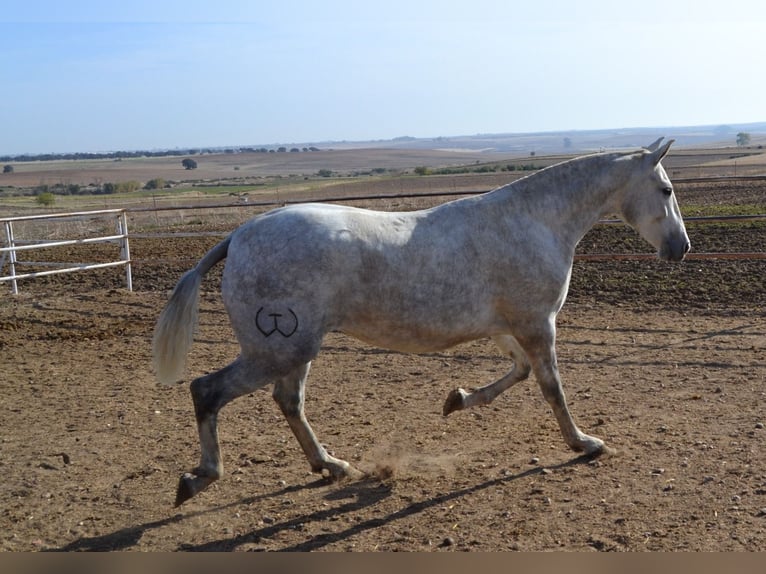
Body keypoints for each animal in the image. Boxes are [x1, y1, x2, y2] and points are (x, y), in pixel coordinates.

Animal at [154, 137, 688, 506]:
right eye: (665, 189)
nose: (680, 248)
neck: (534, 222)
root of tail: (238, 236)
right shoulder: (538, 324)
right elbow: (551, 386)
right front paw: (584, 443)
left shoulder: (505, 327)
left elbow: (517, 373)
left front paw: (458, 399)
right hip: (278, 348)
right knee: (207, 390)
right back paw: (199, 478)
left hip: (294, 349)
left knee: (288, 402)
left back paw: (332, 466)